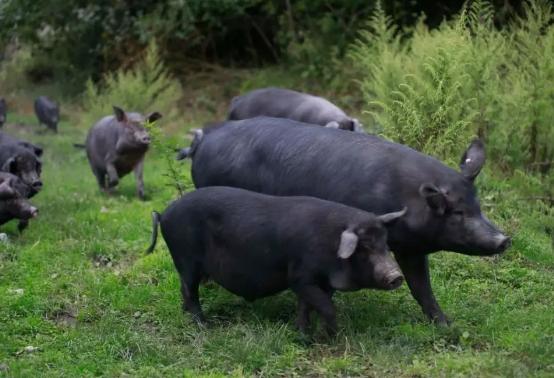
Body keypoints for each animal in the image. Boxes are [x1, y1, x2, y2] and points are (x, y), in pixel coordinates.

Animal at [147, 185, 406, 334]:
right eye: (363, 248)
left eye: (385, 244)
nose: (396, 276)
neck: (331, 245)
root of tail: (164, 214)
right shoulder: (300, 277)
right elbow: (325, 306)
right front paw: (331, 334)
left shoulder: (318, 283)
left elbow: (307, 306)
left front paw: (304, 335)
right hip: (186, 258)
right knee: (188, 290)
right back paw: (204, 326)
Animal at [188, 117, 512, 324]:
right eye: (456, 213)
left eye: (478, 207)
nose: (504, 239)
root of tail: (204, 140)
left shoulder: (410, 249)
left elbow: (421, 287)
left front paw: (447, 325)